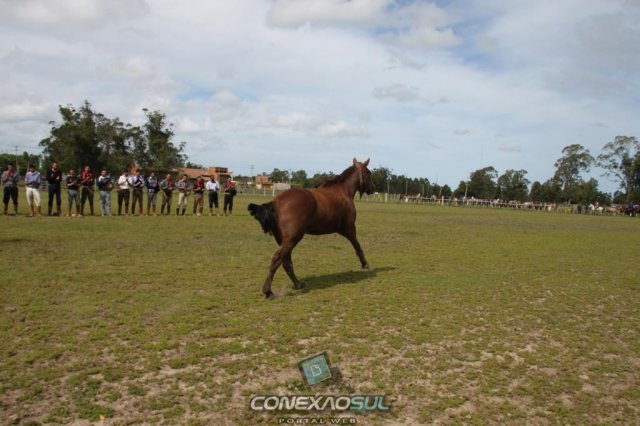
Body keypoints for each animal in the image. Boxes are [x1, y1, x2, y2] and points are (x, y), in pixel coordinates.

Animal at [248, 158, 374, 299]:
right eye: (368, 173)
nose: (373, 188)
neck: (343, 191)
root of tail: (276, 202)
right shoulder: (349, 229)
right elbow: (357, 246)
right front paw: (365, 264)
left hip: (284, 240)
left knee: (286, 262)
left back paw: (297, 284)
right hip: (292, 239)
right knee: (277, 259)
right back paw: (268, 291)